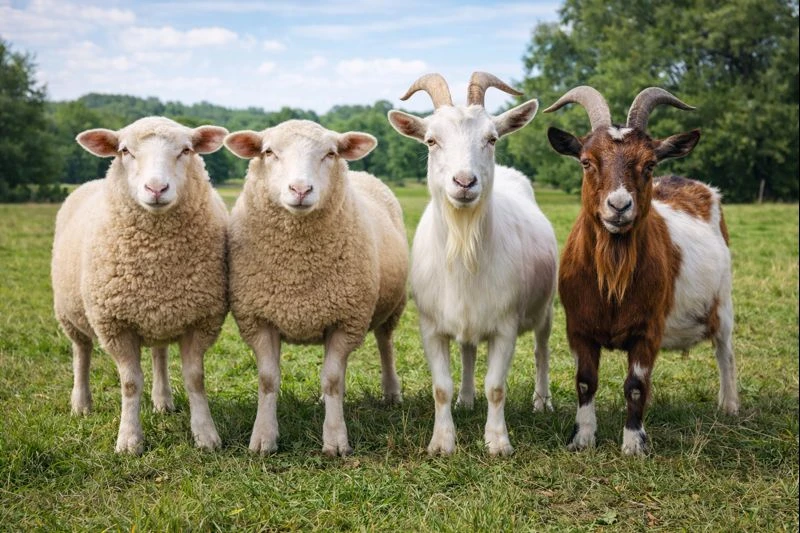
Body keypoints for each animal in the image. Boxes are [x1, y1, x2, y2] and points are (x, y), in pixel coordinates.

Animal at [52, 116, 229, 454]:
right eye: (124, 151)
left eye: (186, 150)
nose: (156, 188)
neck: (156, 259)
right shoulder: (115, 325)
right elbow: (131, 383)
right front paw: (129, 440)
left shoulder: (200, 320)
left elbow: (195, 379)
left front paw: (206, 435)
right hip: (69, 314)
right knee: (81, 352)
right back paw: (81, 404)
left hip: (159, 315)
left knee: (159, 354)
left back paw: (163, 401)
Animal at [223, 119, 408, 457]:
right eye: (268, 152)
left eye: (330, 153)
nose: (300, 190)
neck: (299, 270)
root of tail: (363, 173)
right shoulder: (259, 320)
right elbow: (268, 380)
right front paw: (263, 438)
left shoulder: (347, 321)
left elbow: (332, 379)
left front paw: (335, 439)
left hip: (393, 305)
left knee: (385, 343)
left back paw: (391, 392)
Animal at [387, 72, 558, 456]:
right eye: (431, 140)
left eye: (491, 138)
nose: (464, 182)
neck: (464, 250)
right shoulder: (430, 325)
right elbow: (441, 387)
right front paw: (441, 442)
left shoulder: (505, 325)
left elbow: (496, 386)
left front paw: (497, 441)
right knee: (467, 350)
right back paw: (466, 399)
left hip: (546, 307)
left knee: (541, 349)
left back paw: (542, 401)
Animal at [544, 86, 739, 455]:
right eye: (586, 161)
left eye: (649, 164)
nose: (619, 206)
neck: (613, 278)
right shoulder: (578, 327)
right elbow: (585, 382)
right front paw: (582, 438)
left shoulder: (648, 330)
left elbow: (636, 384)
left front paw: (634, 443)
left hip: (723, 302)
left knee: (725, 351)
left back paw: (730, 405)